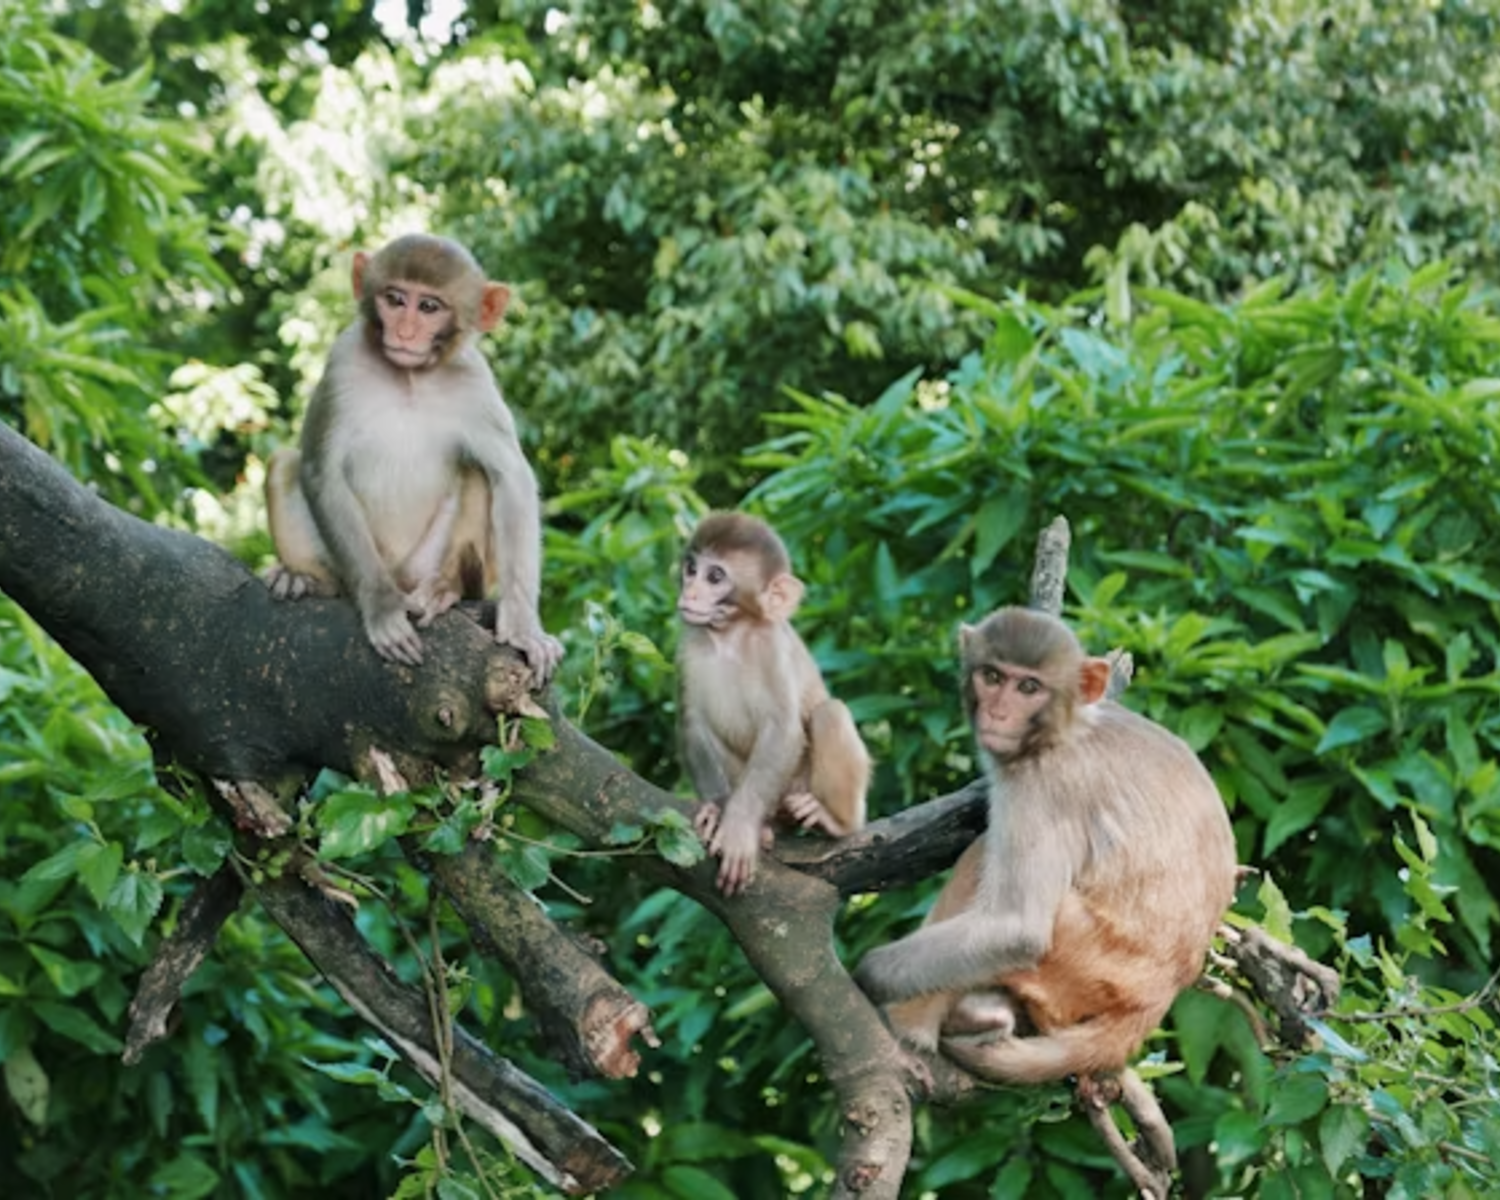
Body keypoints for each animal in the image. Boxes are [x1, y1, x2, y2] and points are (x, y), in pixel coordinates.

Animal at [263, 233, 562, 678]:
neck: (408, 377)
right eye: (395, 298)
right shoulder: (342, 360)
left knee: (476, 471)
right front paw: (382, 609)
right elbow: (321, 471)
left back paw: (445, 588)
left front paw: (524, 627)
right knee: (284, 465)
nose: (404, 331)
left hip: (426, 563)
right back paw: (306, 580)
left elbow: (511, 477)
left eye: (429, 307)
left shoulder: (475, 383)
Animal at [676, 512, 870, 896]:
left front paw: (738, 827)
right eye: (691, 568)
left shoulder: (772, 649)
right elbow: (693, 722)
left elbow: (783, 730)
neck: (731, 637)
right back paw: (766, 827)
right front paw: (718, 809)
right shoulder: (690, 645)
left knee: (830, 713)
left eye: (715, 576)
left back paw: (836, 821)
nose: (689, 591)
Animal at [855, 606, 1238, 1084]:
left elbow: (1017, 928)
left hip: (1090, 965)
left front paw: (867, 977)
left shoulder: (1040, 785)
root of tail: (1158, 996)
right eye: (992, 676)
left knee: (985, 857)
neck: (1069, 727)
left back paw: (918, 1025)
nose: (998, 712)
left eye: (1029, 687)